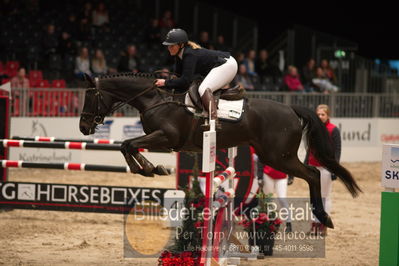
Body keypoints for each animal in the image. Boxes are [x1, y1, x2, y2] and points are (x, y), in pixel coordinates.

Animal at [79, 72, 362, 229]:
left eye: (90, 97)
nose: (83, 127)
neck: (154, 101)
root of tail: (292, 109)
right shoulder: (160, 140)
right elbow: (129, 145)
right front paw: (153, 168)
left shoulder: (166, 137)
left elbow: (128, 144)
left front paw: (150, 169)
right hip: (274, 155)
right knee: (313, 171)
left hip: (278, 157)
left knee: (313, 173)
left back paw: (324, 218)